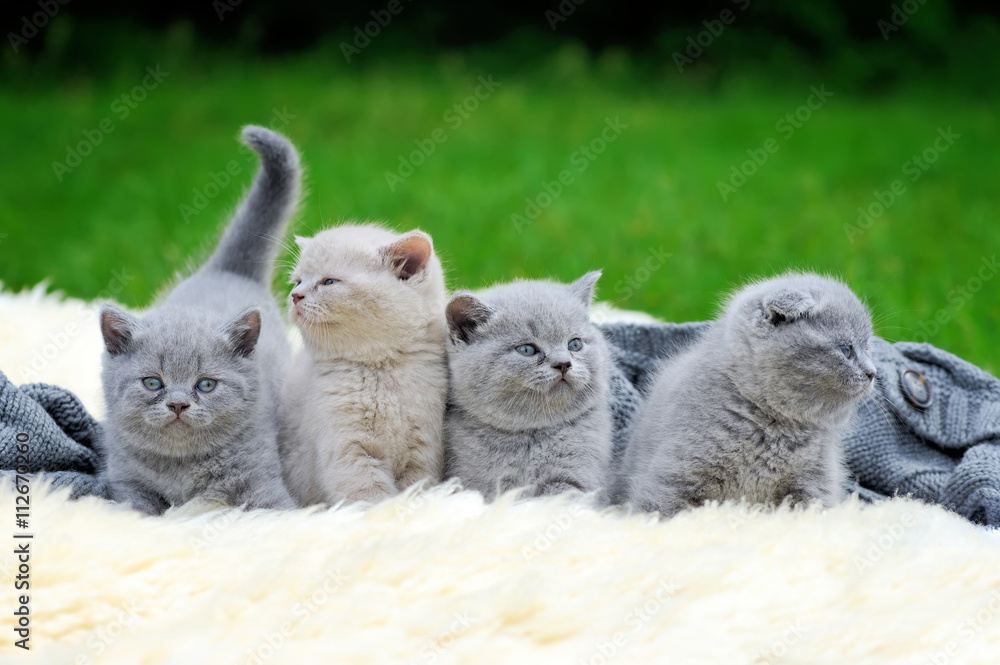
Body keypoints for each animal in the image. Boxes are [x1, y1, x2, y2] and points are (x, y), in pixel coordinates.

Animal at [97, 127, 300, 516]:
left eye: (206, 385)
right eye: (152, 383)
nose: (178, 404)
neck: (183, 470)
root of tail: (227, 269)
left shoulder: (260, 480)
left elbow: (281, 512)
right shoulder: (127, 483)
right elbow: (137, 510)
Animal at [274, 223, 446, 504]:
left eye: (329, 281)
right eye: (297, 281)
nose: (295, 295)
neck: (380, 371)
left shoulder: (424, 451)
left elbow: (416, 491)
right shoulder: (349, 452)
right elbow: (370, 498)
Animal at [616, 272, 876, 516]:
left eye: (868, 349)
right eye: (846, 350)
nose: (872, 373)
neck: (774, 424)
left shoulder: (814, 479)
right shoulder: (675, 474)